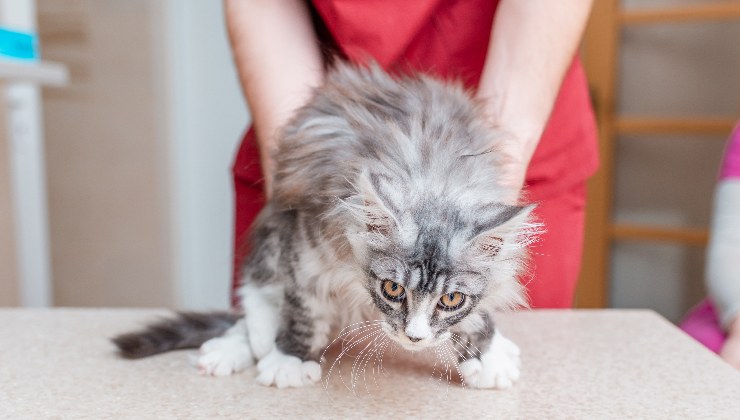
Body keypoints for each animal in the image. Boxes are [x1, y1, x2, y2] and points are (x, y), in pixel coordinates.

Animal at [112, 65, 536, 390]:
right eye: (393, 289)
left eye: (452, 300)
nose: (414, 337)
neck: (433, 174)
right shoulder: (307, 242)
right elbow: (301, 307)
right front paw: (290, 359)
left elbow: (483, 306)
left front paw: (489, 354)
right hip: (274, 233)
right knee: (257, 290)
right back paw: (247, 340)